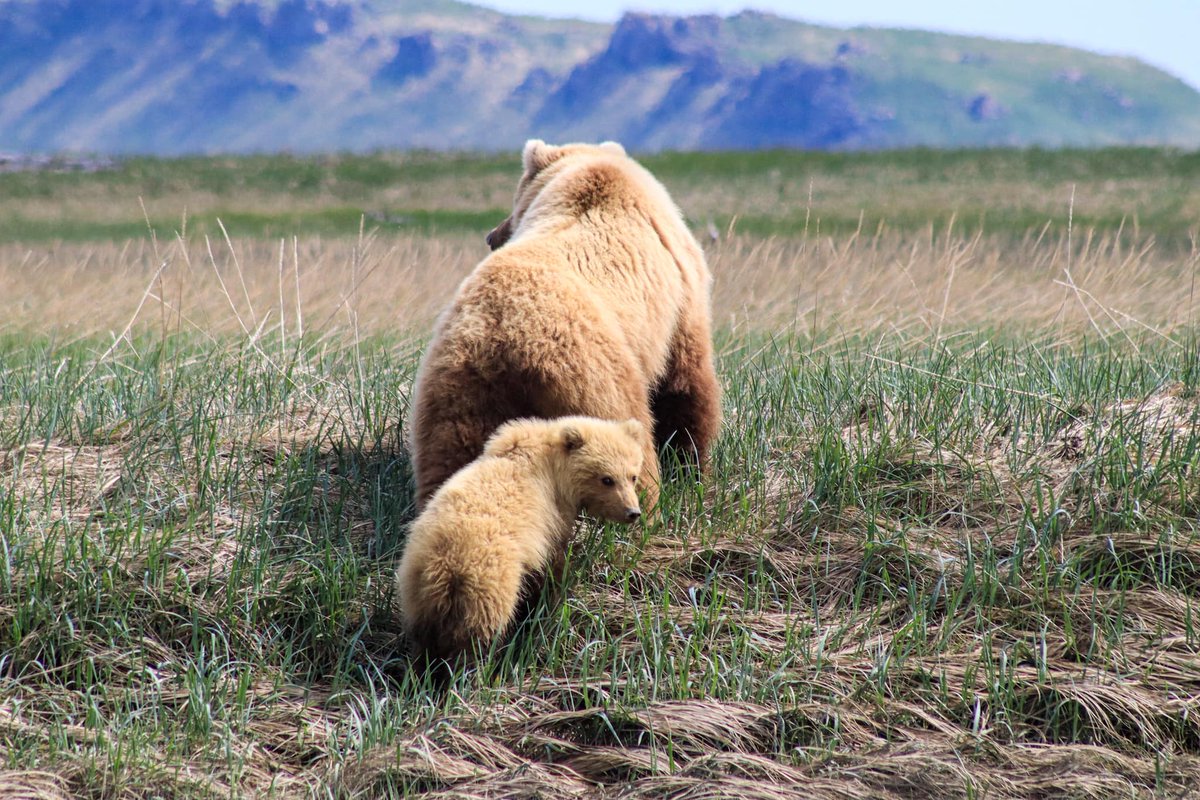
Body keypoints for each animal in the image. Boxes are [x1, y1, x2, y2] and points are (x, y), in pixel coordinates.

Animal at [395, 415, 644, 665]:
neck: (555, 471)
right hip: (488, 585)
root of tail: (446, 563)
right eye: (607, 479)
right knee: (480, 631)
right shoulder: (551, 517)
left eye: (633, 476)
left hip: (417, 591)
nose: (632, 512)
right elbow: (553, 561)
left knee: (424, 637)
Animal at [409, 139, 721, 512]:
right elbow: (686, 385)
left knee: (450, 454)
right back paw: (644, 508)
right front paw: (691, 466)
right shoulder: (681, 294)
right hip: (595, 381)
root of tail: (505, 339)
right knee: (625, 436)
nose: (491, 235)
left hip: (457, 387)